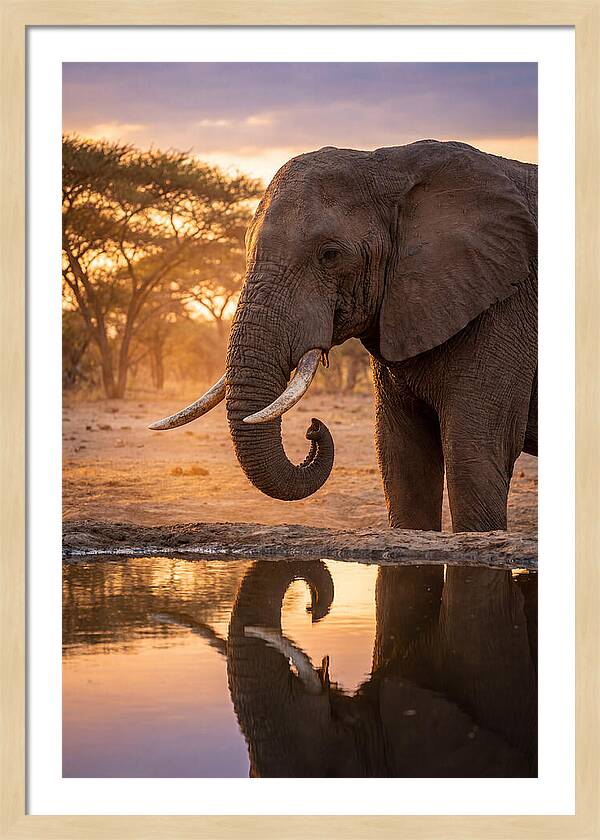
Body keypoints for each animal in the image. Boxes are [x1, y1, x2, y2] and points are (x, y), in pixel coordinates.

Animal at [151, 140, 537, 532]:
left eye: (330, 255)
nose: (313, 427)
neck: (393, 165)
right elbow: (401, 457)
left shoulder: (505, 306)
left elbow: (474, 452)